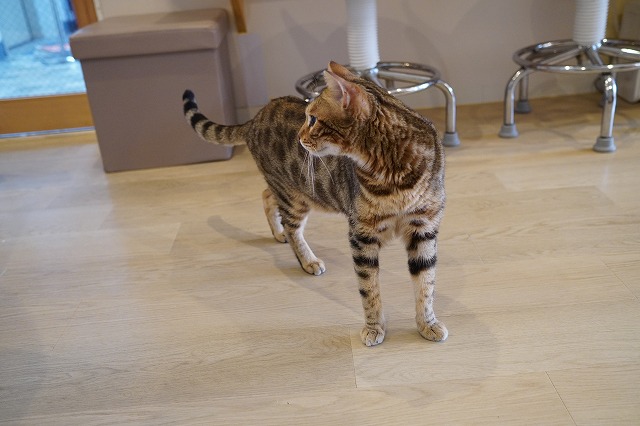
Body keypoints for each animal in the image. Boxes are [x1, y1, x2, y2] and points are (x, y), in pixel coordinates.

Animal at [182, 61, 447, 346]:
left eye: (312, 119)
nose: (299, 136)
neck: (394, 172)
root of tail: (255, 118)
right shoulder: (361, 234)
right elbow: (369, 289)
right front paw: (374, 327)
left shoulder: (423, 228)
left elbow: (425, 284)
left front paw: (427, 324)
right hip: (295, 195)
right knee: (290, 225)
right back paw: (306, 259)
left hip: (298, 191)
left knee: (266, 196)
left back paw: (277, 234)